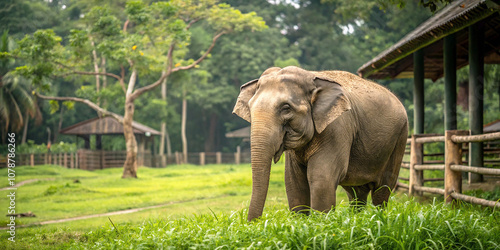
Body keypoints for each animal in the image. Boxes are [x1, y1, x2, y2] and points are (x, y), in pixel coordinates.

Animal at [232, 66, 408, 221]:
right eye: (249, 107)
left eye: (286, 108)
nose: (254, 223)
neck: (311, 76)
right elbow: (294, 181)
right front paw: (301, 222)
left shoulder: (336, 128)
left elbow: (322, 178)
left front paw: (320, 224)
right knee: (356, 192)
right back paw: (357, 218)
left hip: (399, 138)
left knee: (382, 190)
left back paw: (378, 218)